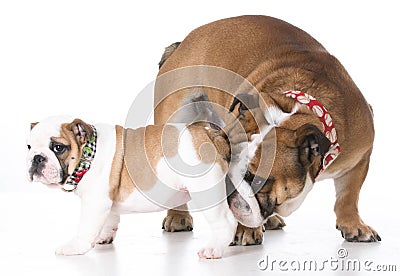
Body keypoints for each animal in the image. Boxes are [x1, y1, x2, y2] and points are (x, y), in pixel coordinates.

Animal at [27, 115, 241, 258]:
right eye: (28, 147)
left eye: (58, 148)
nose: (36, 158)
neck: (89, 153)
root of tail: (210, 134)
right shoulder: (107, 201)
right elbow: (110, 220)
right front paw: (103, 237)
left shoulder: (95, 203)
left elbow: (86, 227)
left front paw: (75, 246)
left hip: (205, 191)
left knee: (226, 221)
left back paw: (213, 249)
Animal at [155, 14, 380, 244]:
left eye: (256, 179)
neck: (295, 108)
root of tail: (184, 42)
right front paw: (246, 230)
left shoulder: (360, 155)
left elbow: (348, 196)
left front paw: (353, 225)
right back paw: (178, 216)